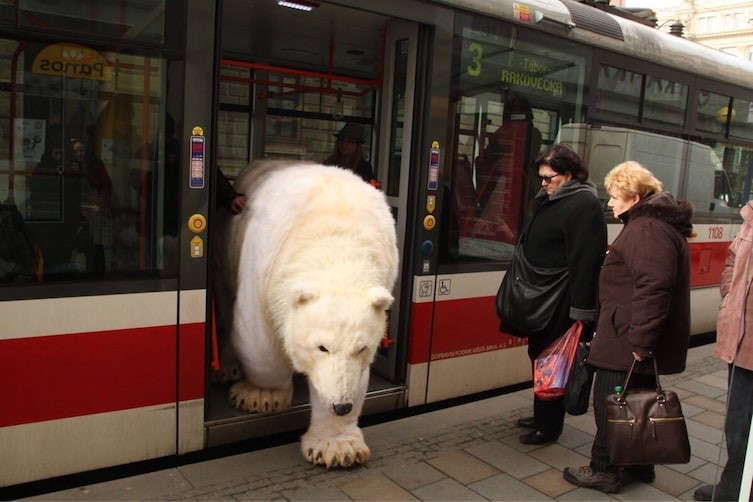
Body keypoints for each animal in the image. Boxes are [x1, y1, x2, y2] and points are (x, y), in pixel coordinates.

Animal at [213, 160, 400, 466]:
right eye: (322, 347)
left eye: (362, 347)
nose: (341, 405)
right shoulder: (265, 265)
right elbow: (260, 339)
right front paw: (260, 396)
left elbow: (353, 376)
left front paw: (339, 447)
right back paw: (228, 367)